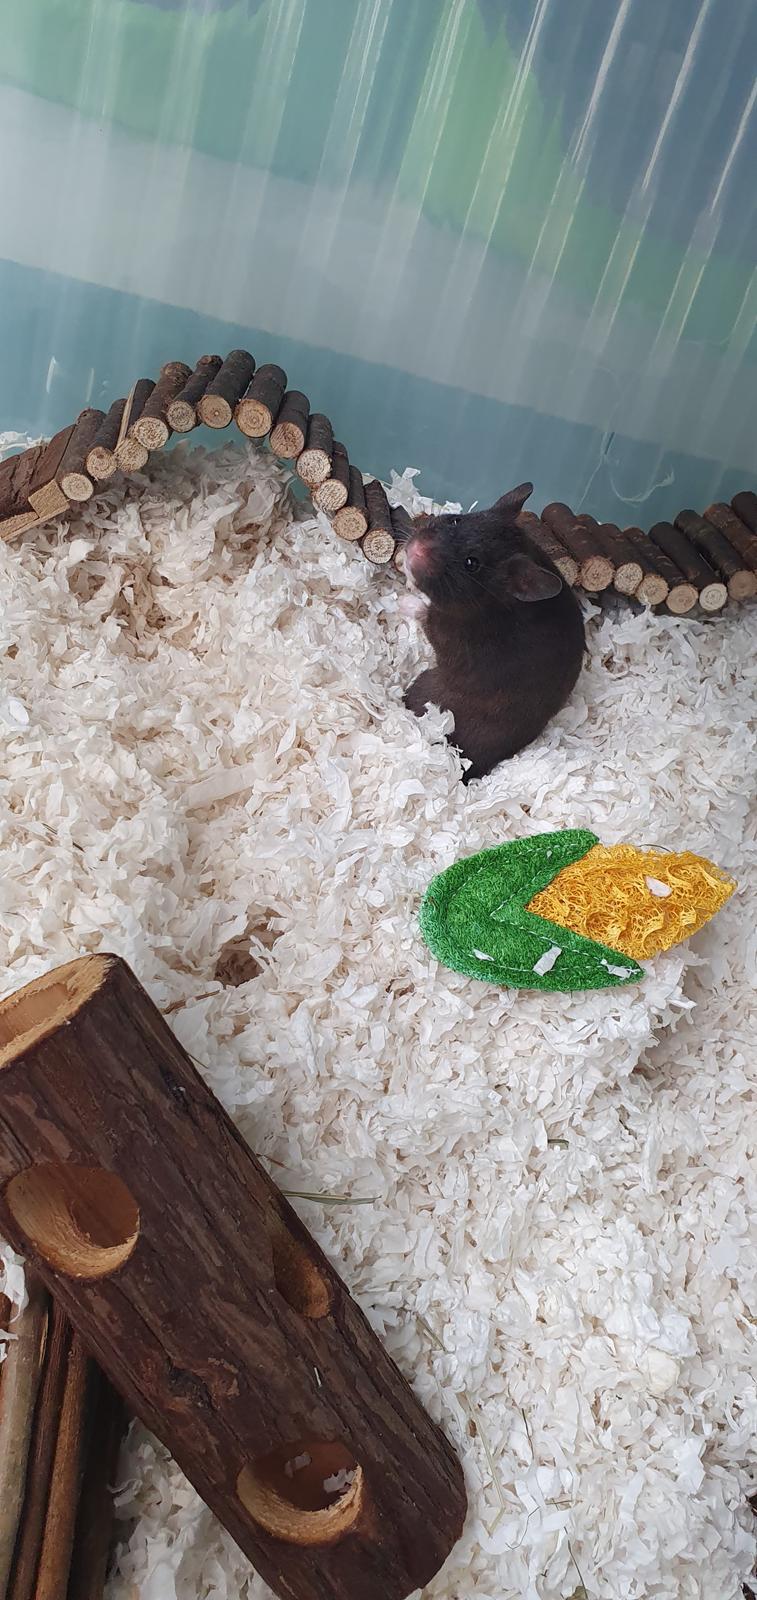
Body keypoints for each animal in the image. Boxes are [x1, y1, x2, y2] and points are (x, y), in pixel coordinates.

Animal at [402, 483, 585, 781]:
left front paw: (404, 596)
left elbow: (424, 614)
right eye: (455, 520)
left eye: (471, 563)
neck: (491, 601)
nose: (414, 550)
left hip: (425, 690)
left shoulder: (446, 634)